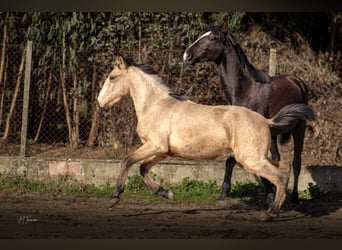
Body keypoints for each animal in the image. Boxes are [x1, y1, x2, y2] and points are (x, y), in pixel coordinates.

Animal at [96, 55, 316, 215]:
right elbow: (142, 168)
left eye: (112, 77)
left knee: (280, 175)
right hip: (257, 157)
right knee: (284, 167)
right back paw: (277, 204)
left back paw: (272, 212)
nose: (100, 103)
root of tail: (266, 121)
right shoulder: (163, 151)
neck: (156, 106)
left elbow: (127, 160)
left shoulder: (155, 146)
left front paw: (115, 197)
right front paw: (166, 193)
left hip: (251, 159)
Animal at [184, 27, 312, 203]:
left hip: (299, 128)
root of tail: (298, 82)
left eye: (213, 38)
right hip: (273, 134)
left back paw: (294, 198)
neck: (246, 91)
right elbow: (231, 161)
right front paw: (224, 194)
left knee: (297, 162)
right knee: (276, 158)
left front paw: (270, 195)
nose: (187, 55)